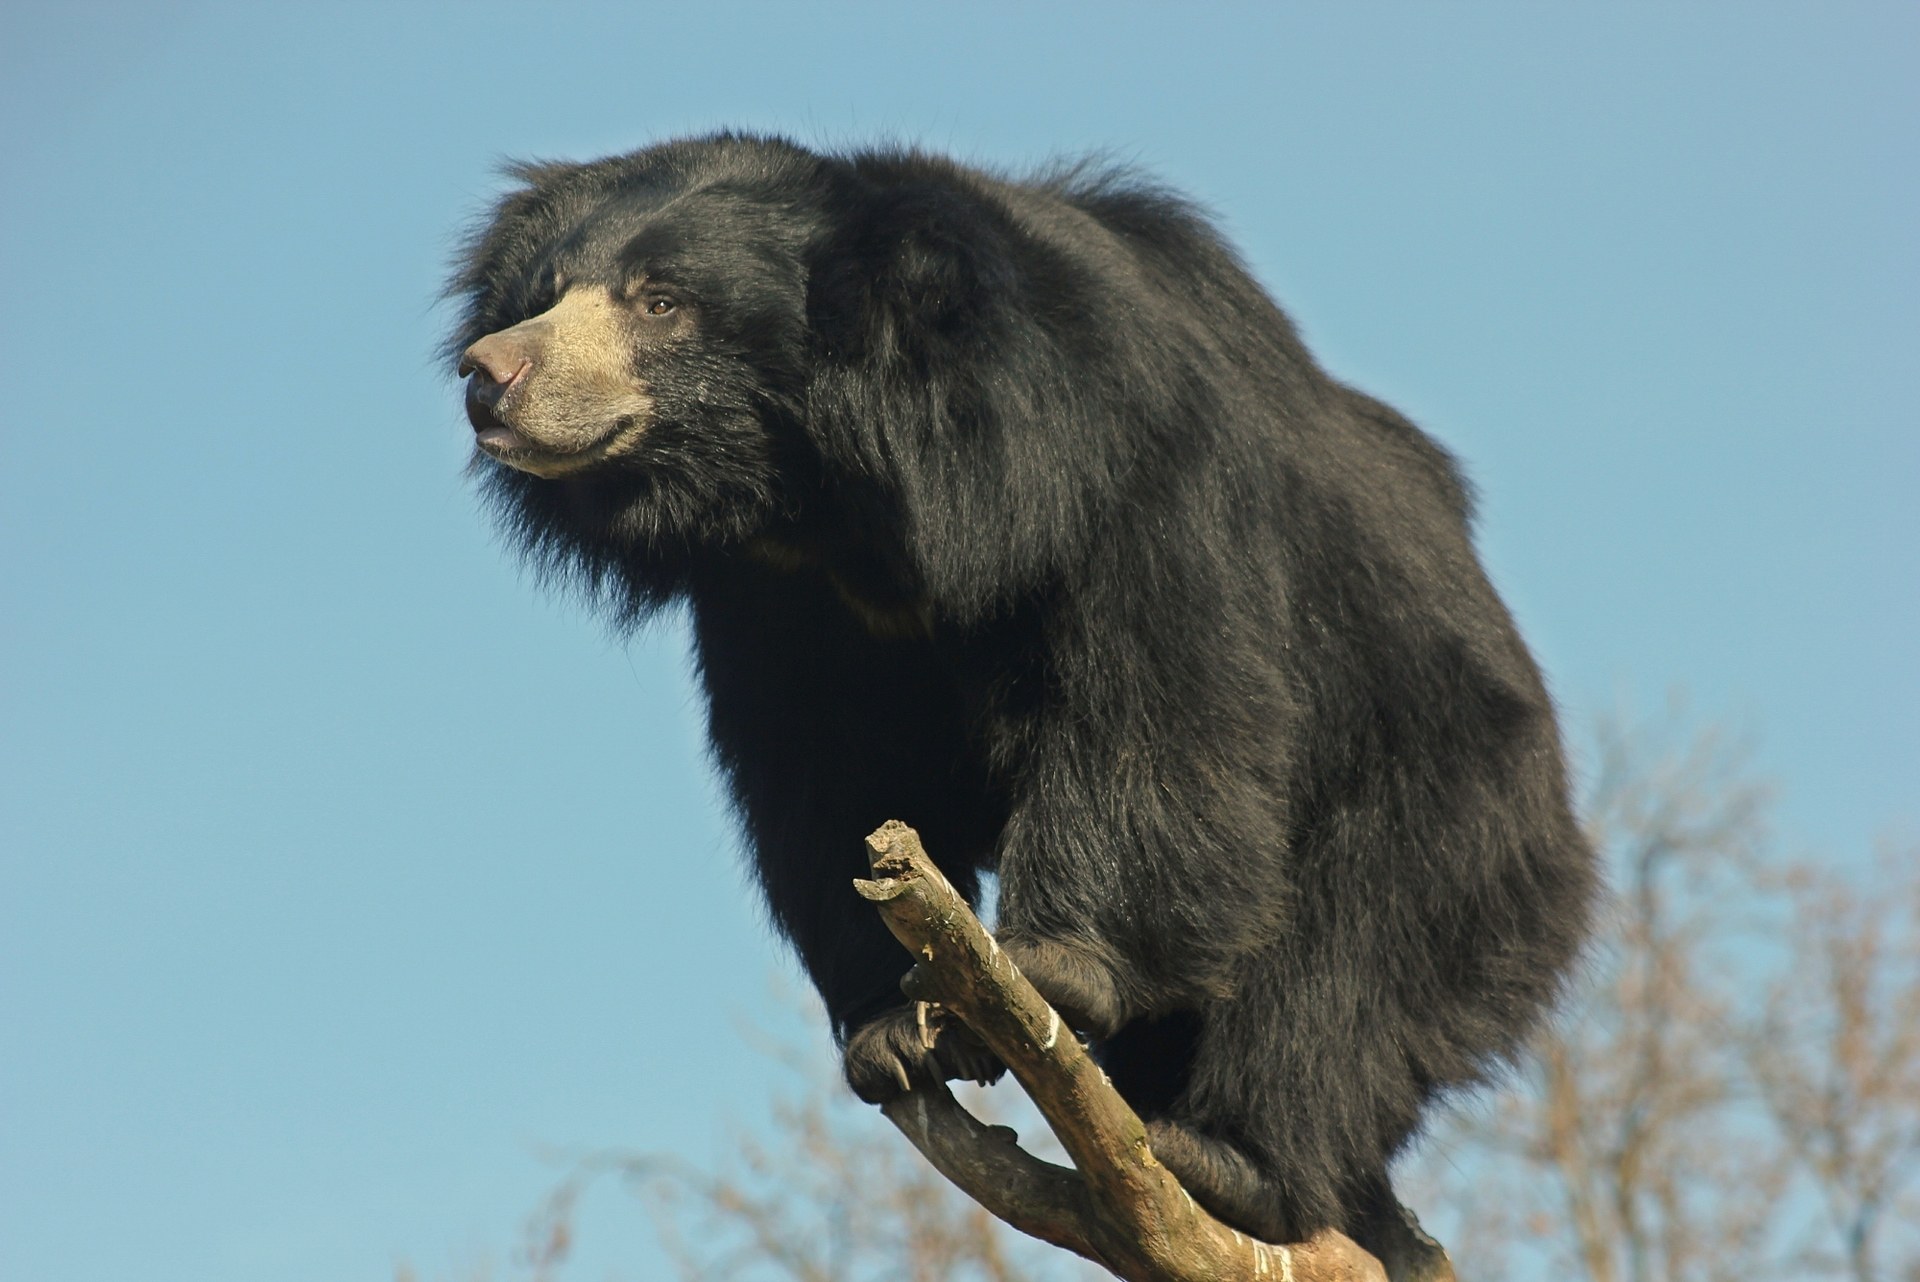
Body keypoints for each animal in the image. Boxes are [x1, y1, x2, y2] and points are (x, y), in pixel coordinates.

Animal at [445, 132, 1597, 1261]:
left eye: (661, 301)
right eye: (545, 293)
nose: (488, 374)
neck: (827, 496)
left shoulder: (1129, 465)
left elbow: (1156, 703)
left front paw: (1056, 965)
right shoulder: (780, 604)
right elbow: (822, 778)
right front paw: (890, 1033)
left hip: (1448, 798)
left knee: (1348, 963)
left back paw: (1234, 1159)